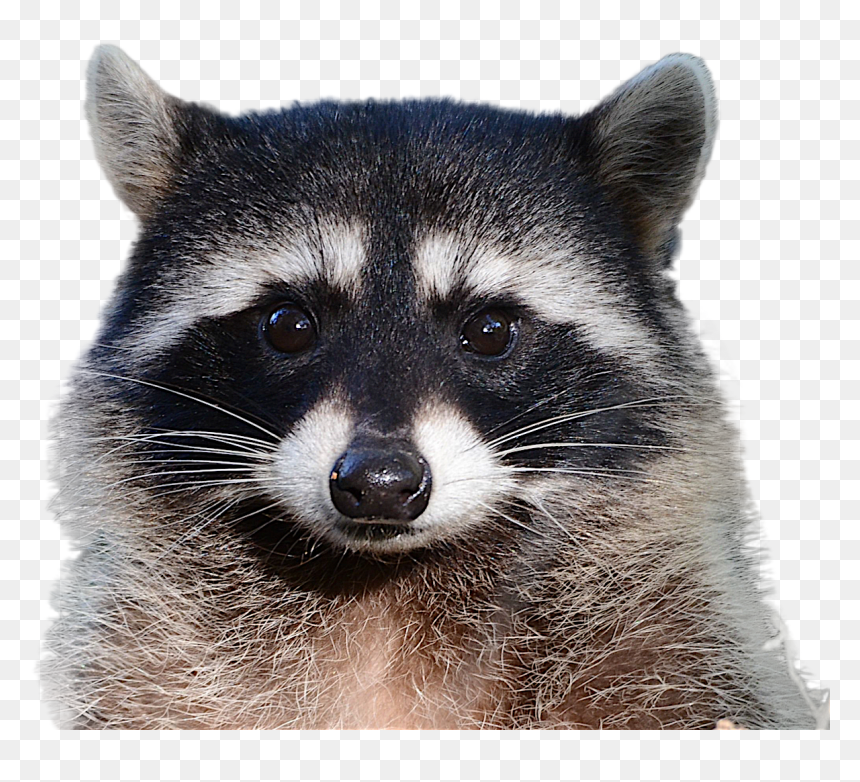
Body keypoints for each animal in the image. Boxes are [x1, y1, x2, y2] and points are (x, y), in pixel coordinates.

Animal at [43, 45, 822, 729]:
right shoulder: (140, 661)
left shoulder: (680, 647)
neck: (383, 593)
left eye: (490, 330)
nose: (380, 482)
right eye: (288, 324)